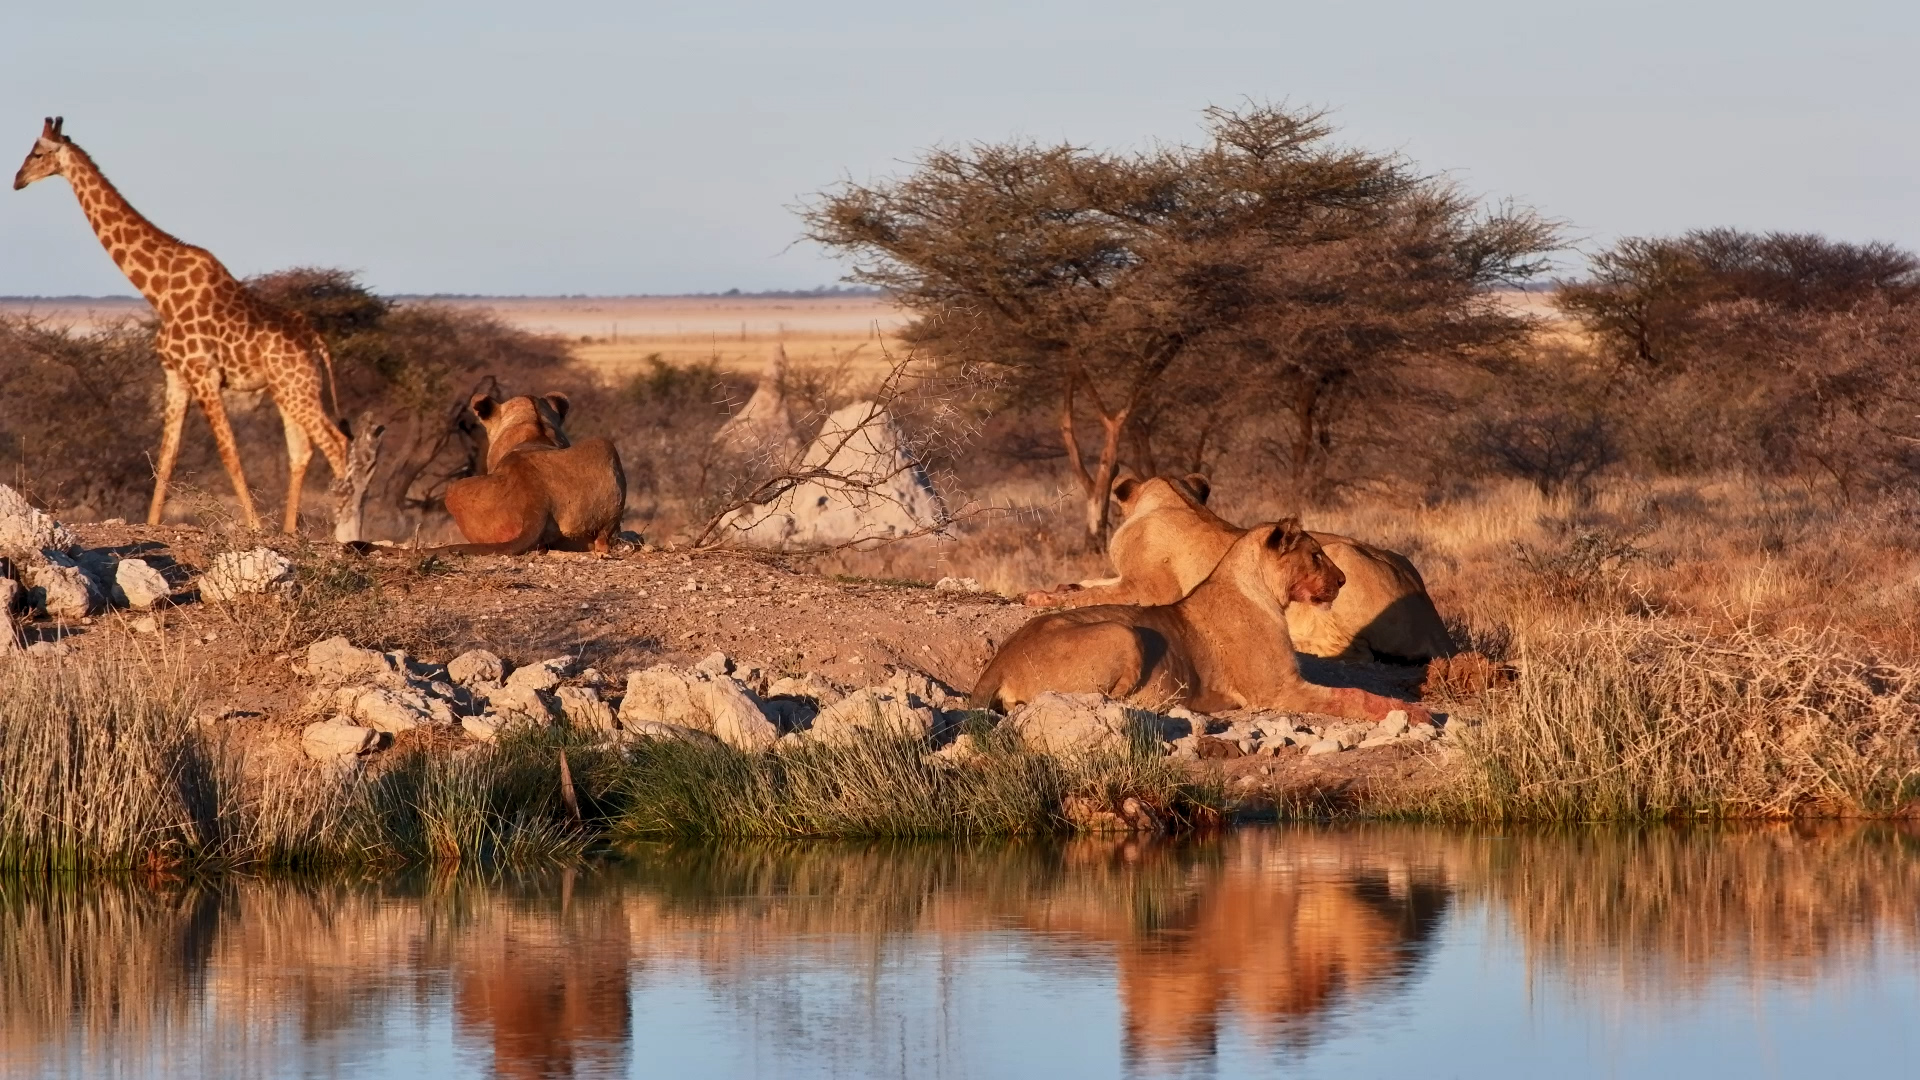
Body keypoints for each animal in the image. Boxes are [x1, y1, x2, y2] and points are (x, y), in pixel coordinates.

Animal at [13, 116, 374, 539]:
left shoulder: (203, 374)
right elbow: (166, 455)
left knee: (336, 443)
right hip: (288, 389)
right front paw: (152, 524)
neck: (158, 288)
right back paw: (291, 531)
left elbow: (228, 451)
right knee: (303, 451)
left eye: (38, 153)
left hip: (296, 388)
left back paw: (345, 534)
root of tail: (316, 339)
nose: (17, 179)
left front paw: (254, 525)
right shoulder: (175, 375)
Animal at [972, 520, 1433, 724]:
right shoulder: (1279, 690)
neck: (1264, 592)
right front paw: (1414, 713)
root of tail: (999, 661)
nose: (1342, 580)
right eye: (1316, 555)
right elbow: (1354, 695)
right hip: (1124, 632)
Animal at [1027, 474, 1453, 663]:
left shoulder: (1150, 589)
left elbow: (1095, 592)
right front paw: (1060, 588)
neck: (1173, 497)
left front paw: (1040, 596)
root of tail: (1436, 628)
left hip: (1341, 558)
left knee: (1356, 651)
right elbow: (1086, 582)